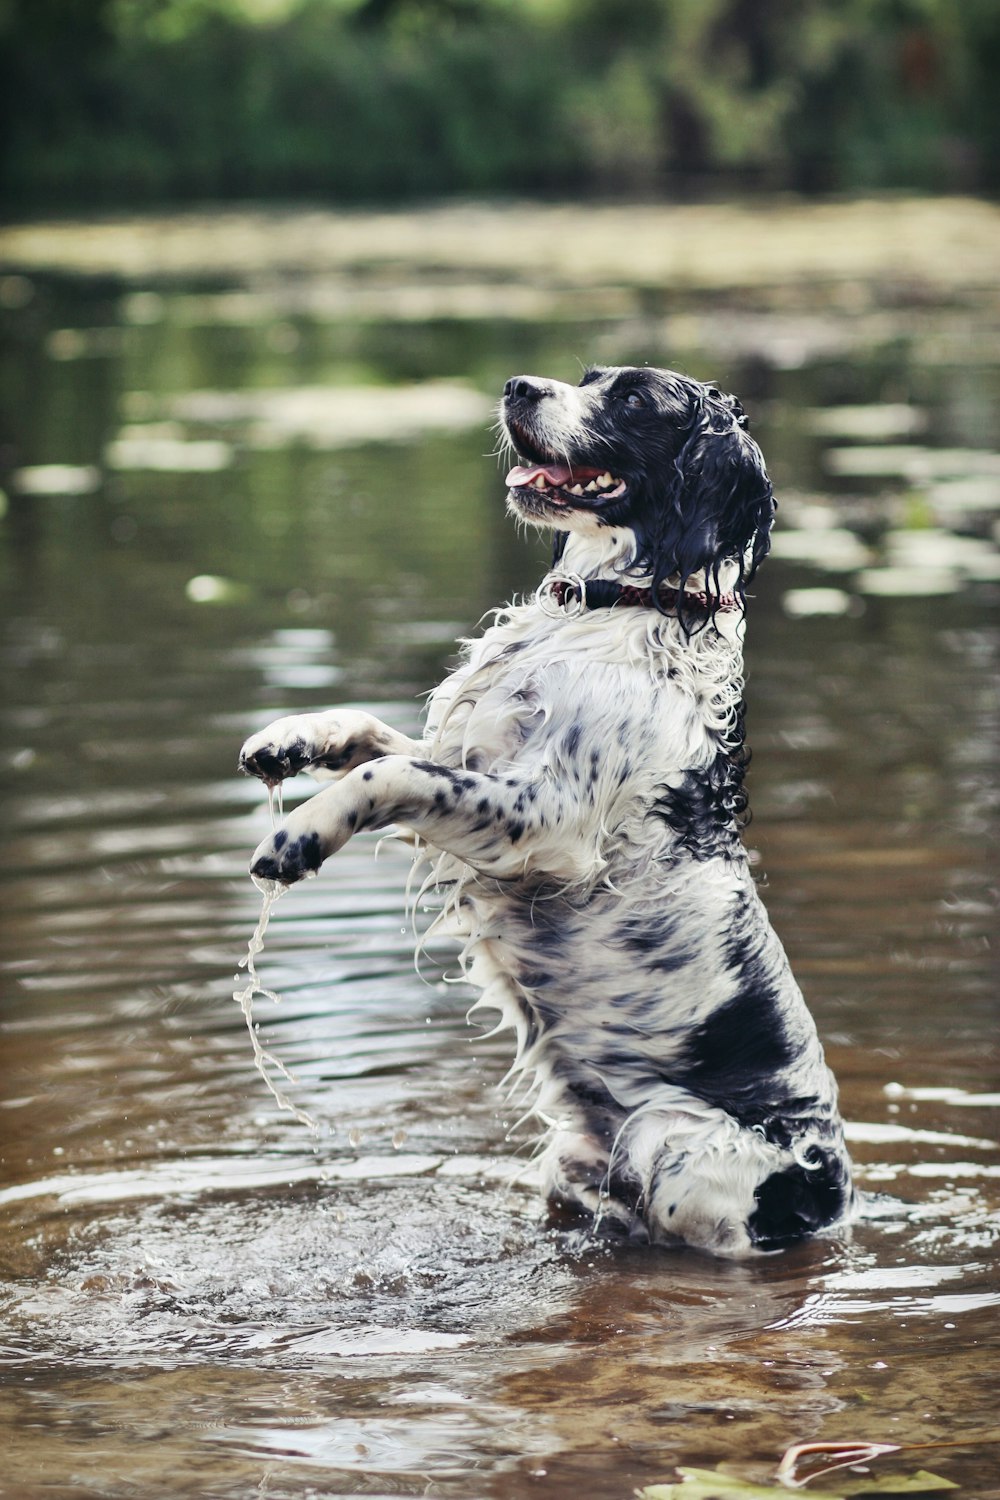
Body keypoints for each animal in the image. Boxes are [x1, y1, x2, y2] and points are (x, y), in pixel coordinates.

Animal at [242, 363, 851, 1254]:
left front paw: (300, 834)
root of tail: (832, 1195)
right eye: (589, 375)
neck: (618, 604)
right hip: (569, 1164)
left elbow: (389, 775)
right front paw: (287, 741)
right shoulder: (474, 761)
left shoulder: (545, 819)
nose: (518, 385)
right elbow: (376, 739)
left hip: (669, 1140)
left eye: (631, 398)